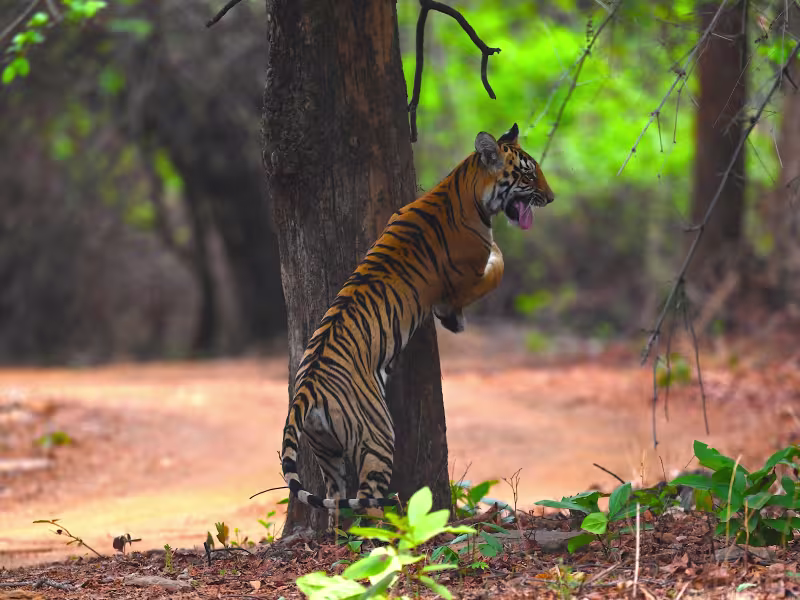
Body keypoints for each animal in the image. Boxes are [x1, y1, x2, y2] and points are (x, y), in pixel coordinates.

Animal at [281, 123, 554, 513]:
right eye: (529, 174)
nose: (551, 197)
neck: (459, 185)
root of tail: (307, 390)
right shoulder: (462, 280)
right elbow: (497, 265)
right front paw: (457, 319)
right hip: (377, 438)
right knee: (366, 501)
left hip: (327, 453)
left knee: (335, 502)